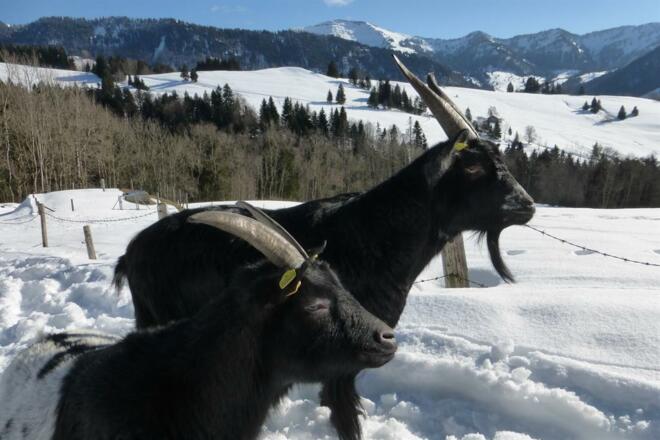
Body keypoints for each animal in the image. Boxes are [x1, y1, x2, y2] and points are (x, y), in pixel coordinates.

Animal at [114, 56, 536, 440]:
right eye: (473, 166)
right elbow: (345, 415)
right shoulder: (345, 355)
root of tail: (132, 251)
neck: (377, 234)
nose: (527, 205)